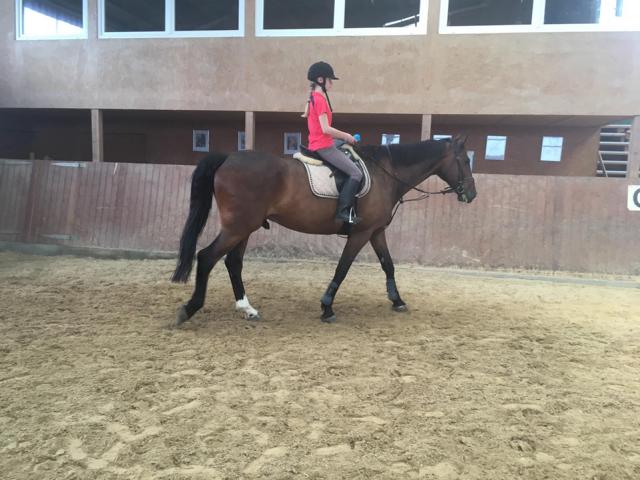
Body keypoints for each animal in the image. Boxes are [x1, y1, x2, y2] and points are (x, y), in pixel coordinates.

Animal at [171, 134, 477, 325]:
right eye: (466, 161)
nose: (472, 194)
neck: (385, 173)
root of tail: (227, 158)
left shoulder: (376, 232)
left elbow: (388, 265)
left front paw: (397, 300)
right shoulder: (361, 233)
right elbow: (342, 268)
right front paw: (327, 307)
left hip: (244, 228)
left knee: (233, 262)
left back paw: (247, 309)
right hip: (238, 227)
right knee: (207, 257)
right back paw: (189, 308)